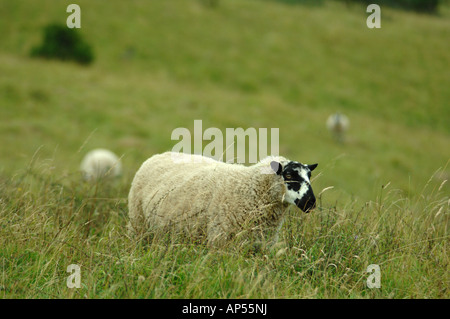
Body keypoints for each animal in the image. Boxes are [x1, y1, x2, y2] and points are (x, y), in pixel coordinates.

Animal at [126, 153, 316, 250]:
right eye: (289, 175)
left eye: (309, 176)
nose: (311, 203)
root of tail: (157, 155)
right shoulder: (220, 240)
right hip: (138, 221)